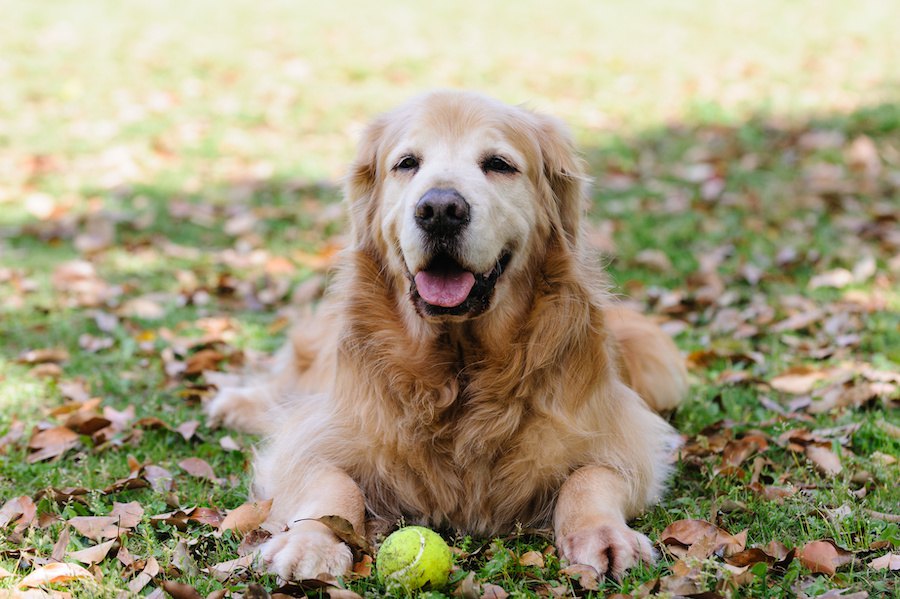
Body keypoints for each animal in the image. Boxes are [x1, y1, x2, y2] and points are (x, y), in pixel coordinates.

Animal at [206, 91, 688, 584]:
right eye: (407, 163)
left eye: (498, 164)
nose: (439, 210)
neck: (459, 368)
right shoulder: (323, 432)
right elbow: (330, 483)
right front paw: (310, 542)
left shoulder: (623, 435)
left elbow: (590, 476)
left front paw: (604, 535)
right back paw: (238, 403)